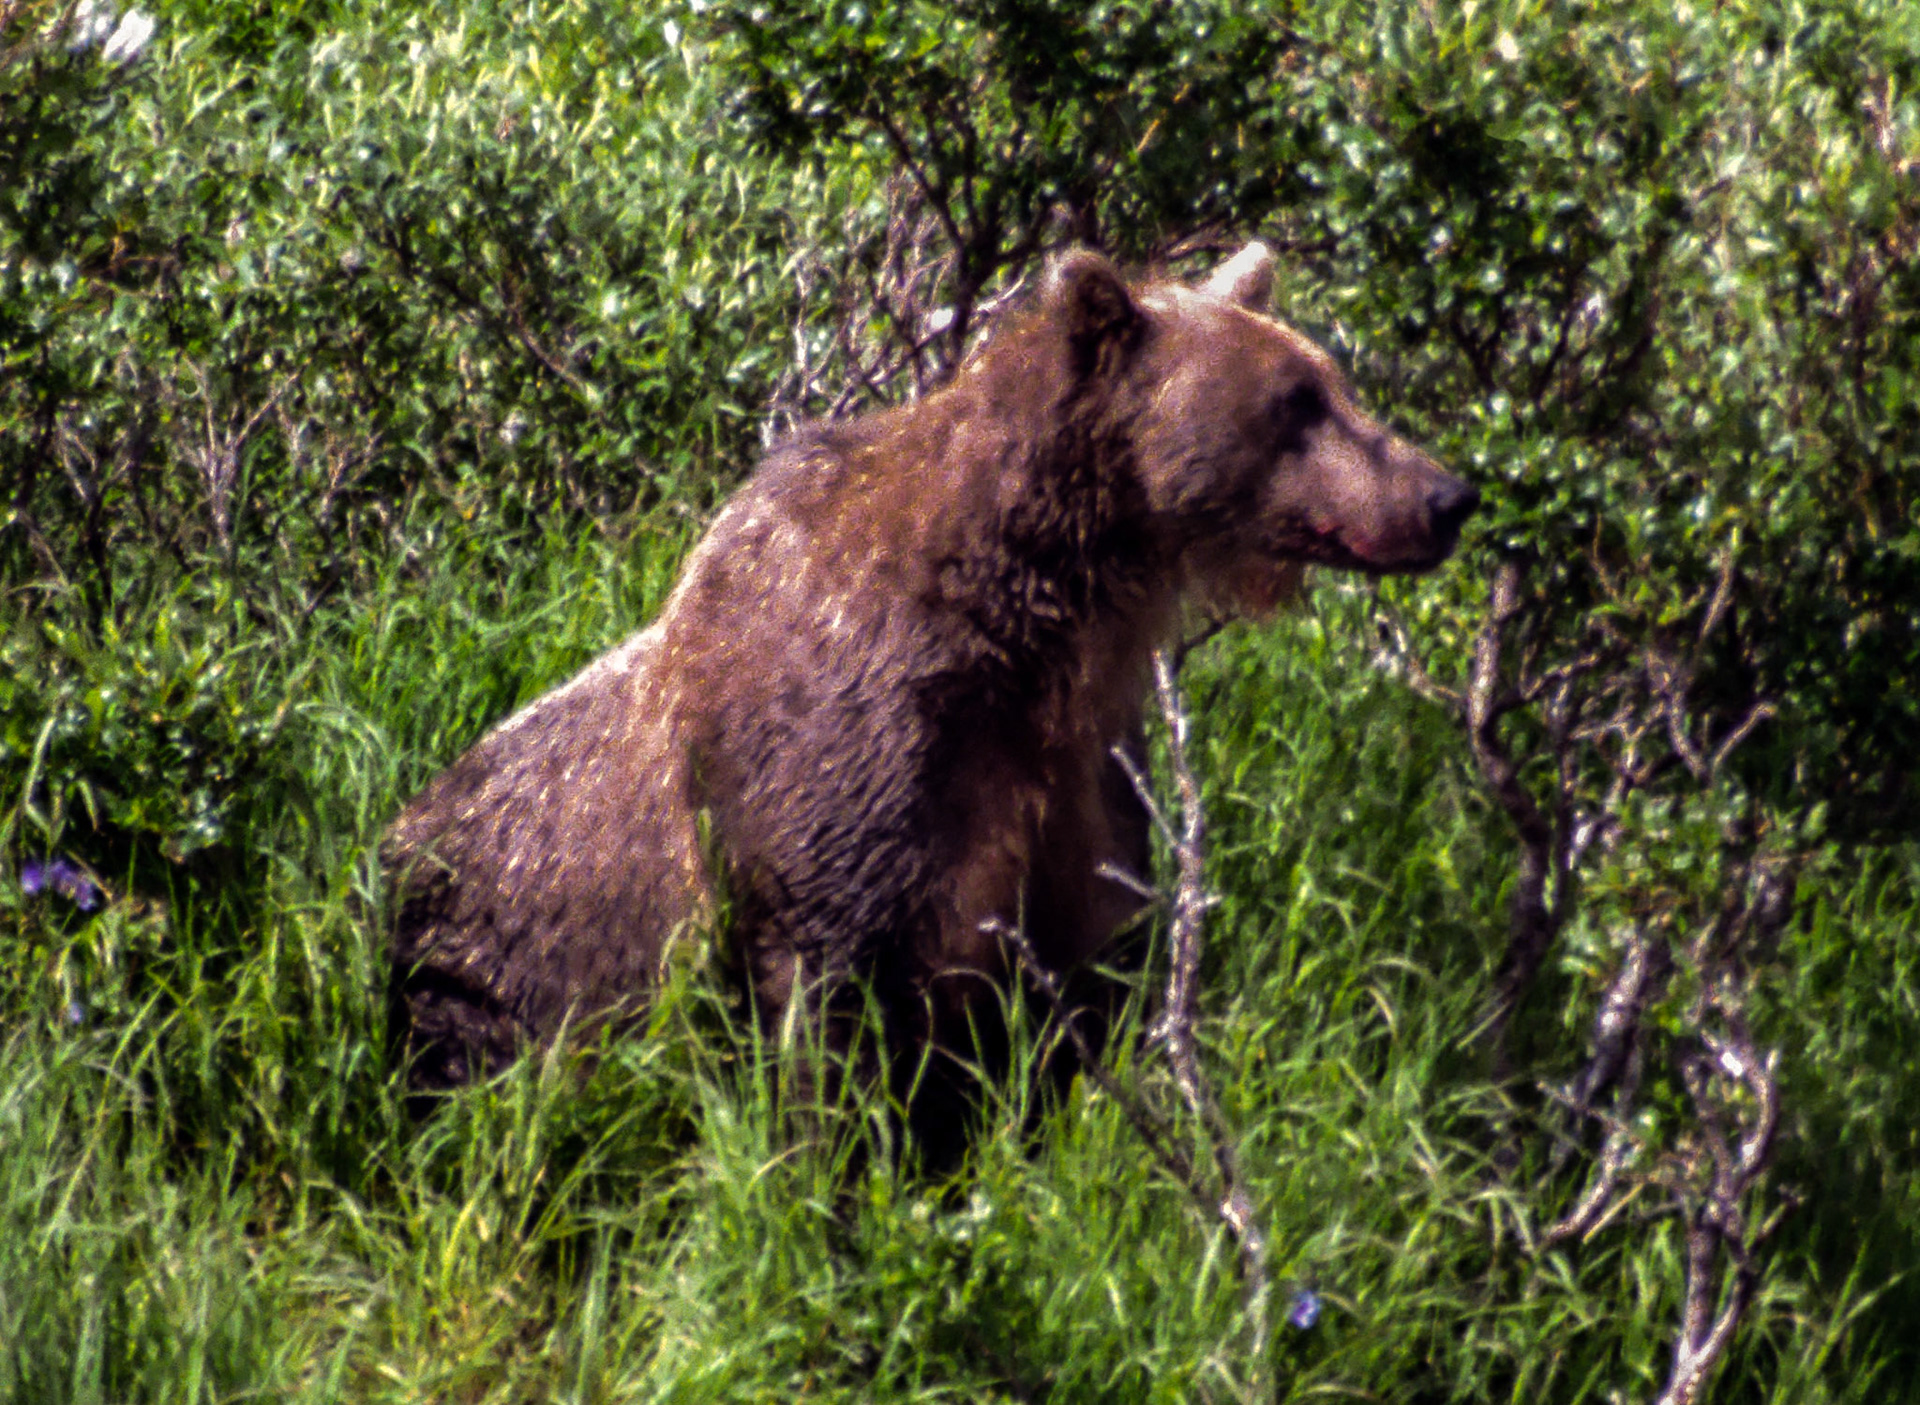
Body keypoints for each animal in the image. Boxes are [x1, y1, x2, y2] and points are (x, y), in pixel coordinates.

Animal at [386, 241, 1478, 1155]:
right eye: (1296, 400)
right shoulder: (848, 772)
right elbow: (828, 995)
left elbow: (1079, 982)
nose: (1447, 494)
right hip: (476, 967)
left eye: (1334, 381)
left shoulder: (1075, 770)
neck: (1031, 624)